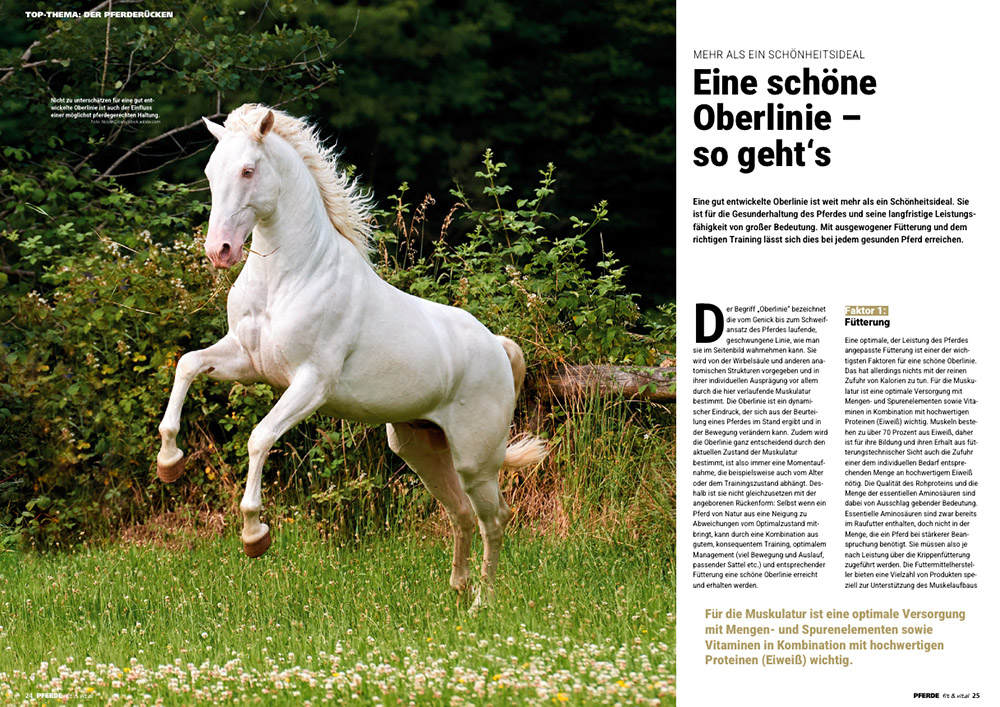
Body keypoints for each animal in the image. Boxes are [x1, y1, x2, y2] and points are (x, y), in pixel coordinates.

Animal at [155, 104, 547, 607]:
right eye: (209, 172)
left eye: (248, 170)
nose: (218, 251)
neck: (291, 277)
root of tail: (498, 346)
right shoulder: (245, 361)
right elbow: (187, 364)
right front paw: (169, 463)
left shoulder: (310, 383)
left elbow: (259, 438)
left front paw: (254, 535)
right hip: (419, 447)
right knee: (461, 512)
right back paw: (458, 591)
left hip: (475, 460)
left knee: (494, 518)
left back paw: (484, 603)